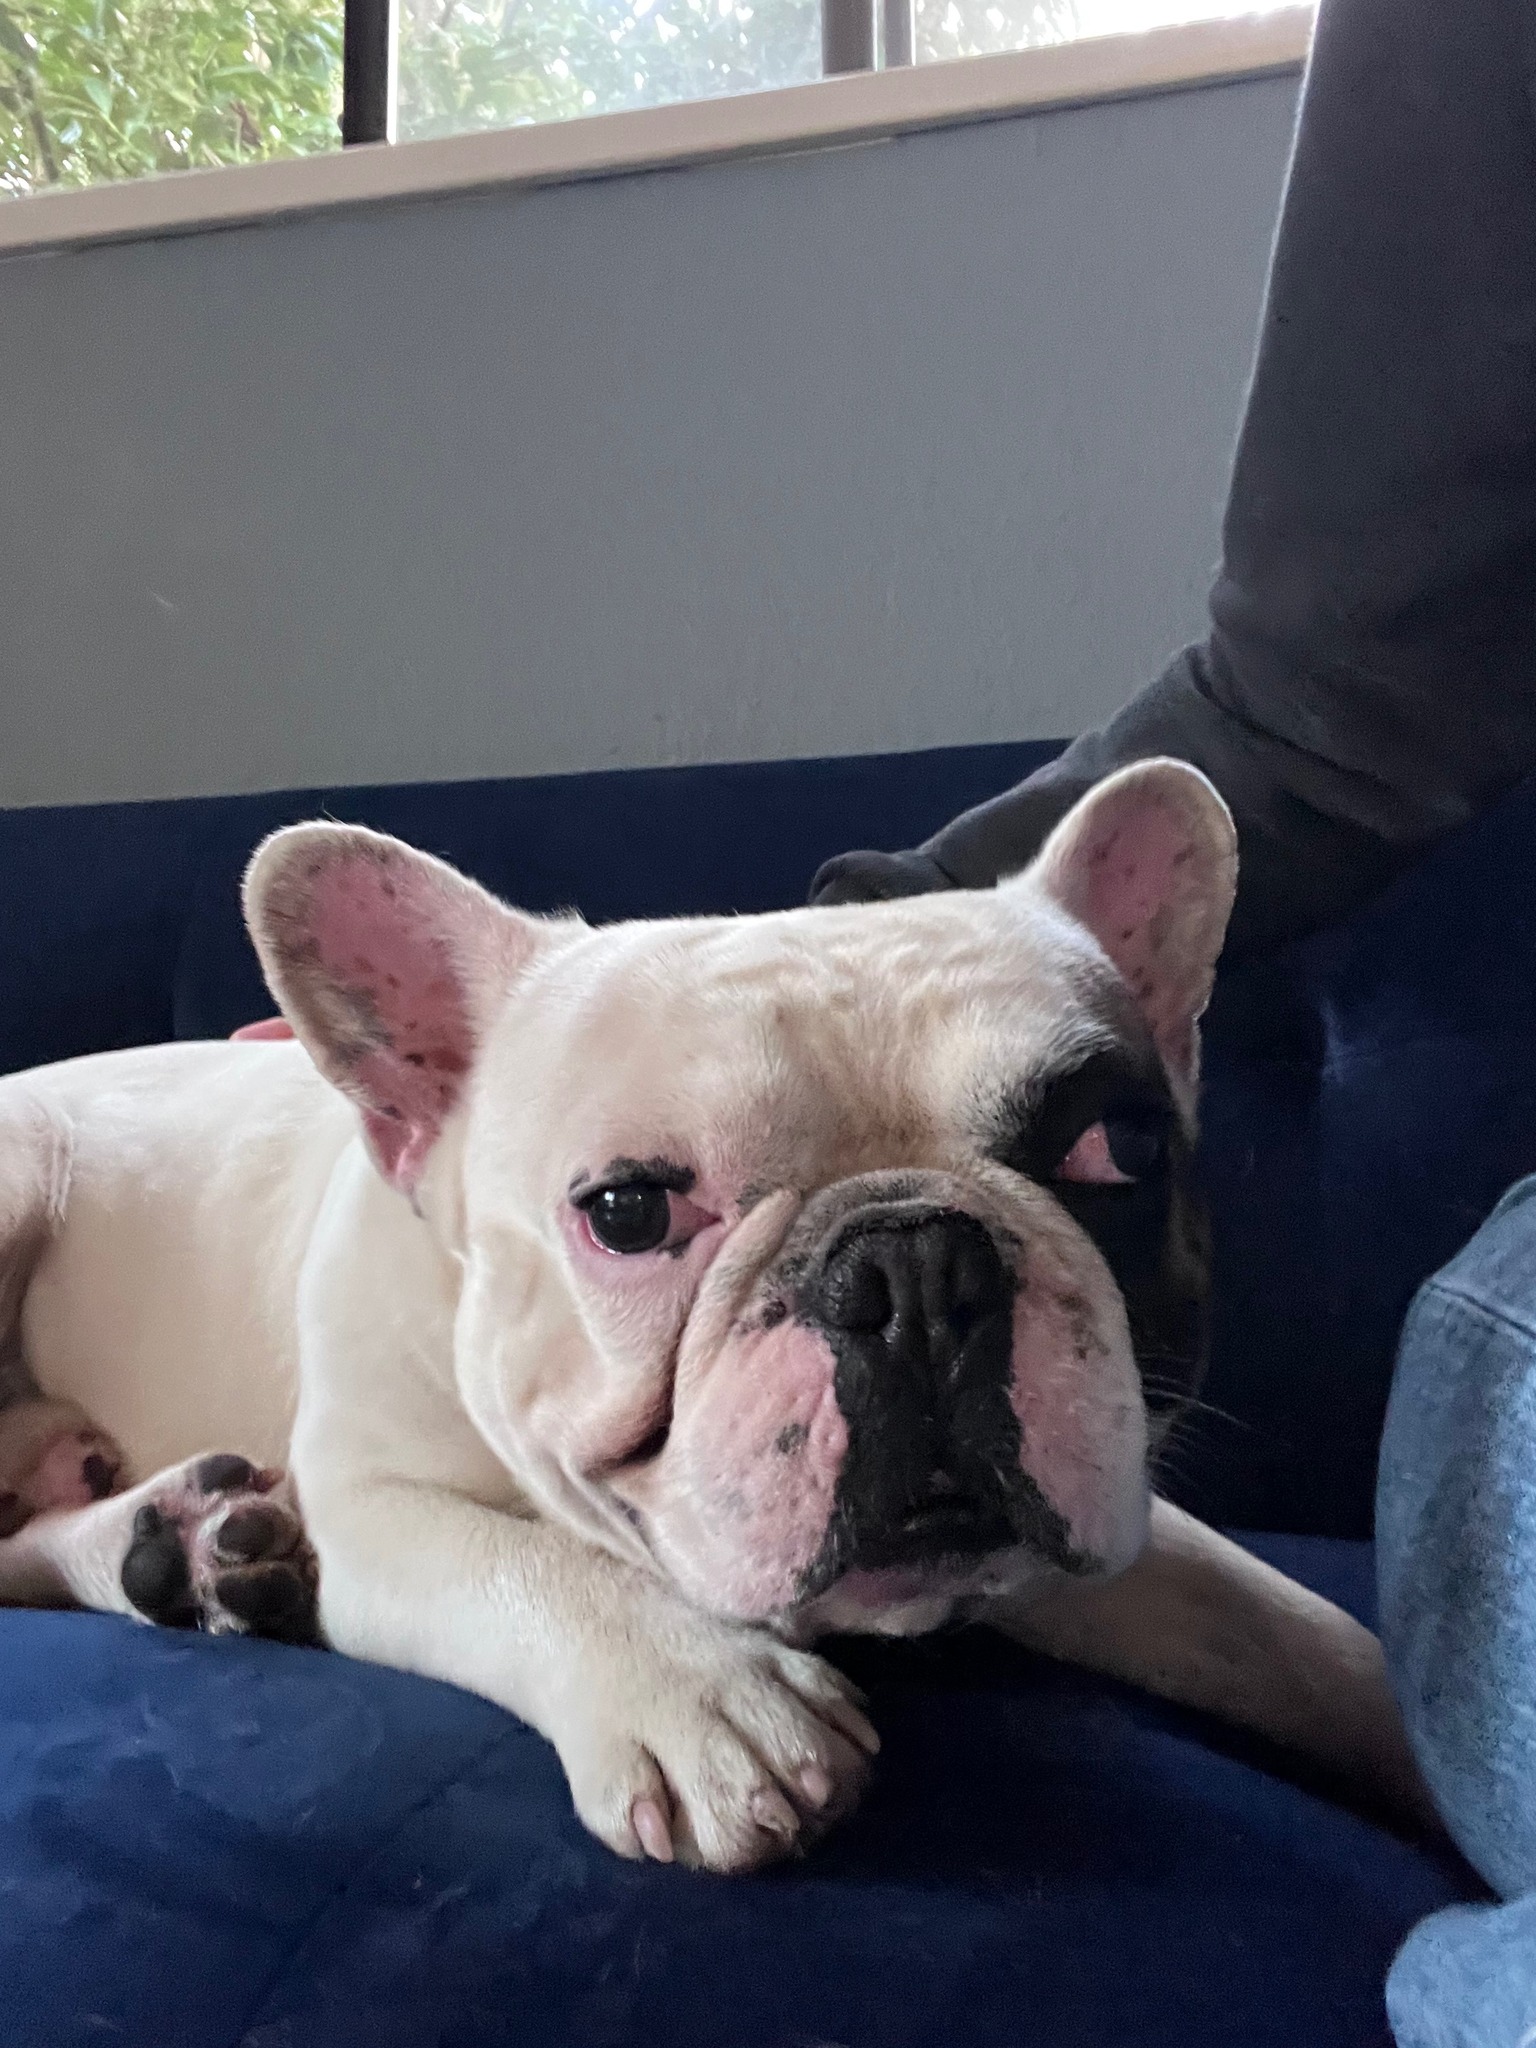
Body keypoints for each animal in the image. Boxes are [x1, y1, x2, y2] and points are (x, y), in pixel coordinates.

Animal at [0, 760, 1431, 1869]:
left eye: (1120, 1150)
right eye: (628, 1209)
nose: (913, 1266)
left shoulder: (1109, 1499)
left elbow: (1286, 1631)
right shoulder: (370, 1497)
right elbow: (526, 1559)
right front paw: (709, 1696)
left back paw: (177, 1539)